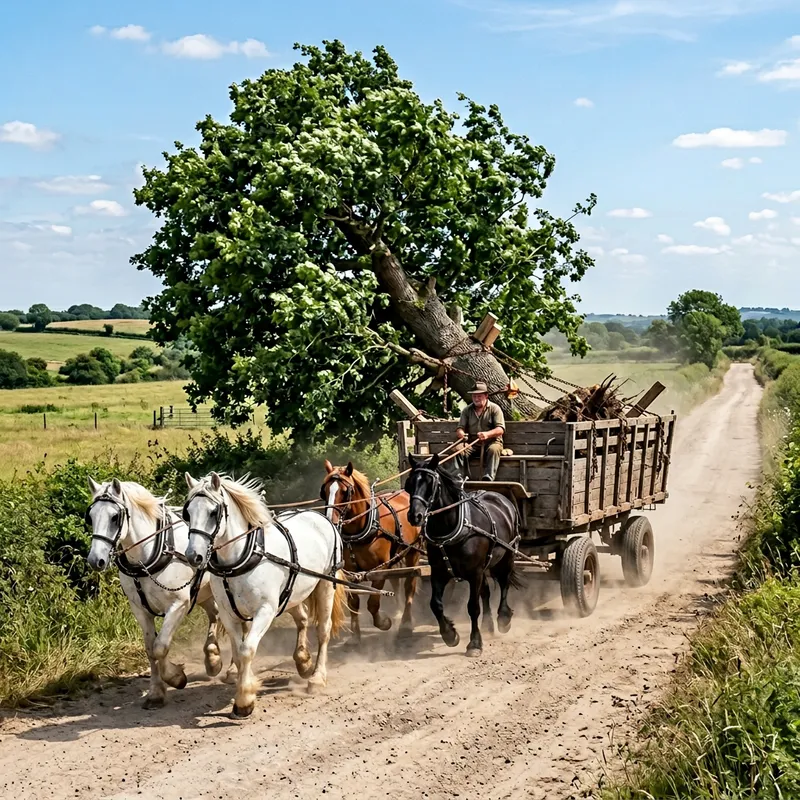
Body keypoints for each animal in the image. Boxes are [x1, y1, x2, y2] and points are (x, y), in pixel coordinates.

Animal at [86, 478, 230, 709]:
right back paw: (212, 659)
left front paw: (175, 677)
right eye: (90, 516)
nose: (95, 560)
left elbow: (160, 646)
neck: (148, 556)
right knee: (214, 615)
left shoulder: (178, 604)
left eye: (115, 517)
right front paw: (156, 692)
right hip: (204, 592)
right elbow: (150, 649)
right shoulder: (140, 609)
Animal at [182, 471, 347, 717]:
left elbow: (247, 650)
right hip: (291, 594)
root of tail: (321, 517)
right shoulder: (229, 614)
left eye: (213, 512)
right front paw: (244, 686)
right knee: (302, 619)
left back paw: (317, 678)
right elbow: (238, 652)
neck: (239, 560)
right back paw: (303, 662)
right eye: (188, 513)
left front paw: (244, 700)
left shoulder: (265, 610)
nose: (194, 556)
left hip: (326, 584)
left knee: (323, 631)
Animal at [320, 460, 422, 643]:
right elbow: (354, 603)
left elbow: (373, 603)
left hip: (413, 552)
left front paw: (384, 623)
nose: (330, 520)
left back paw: (405, 624)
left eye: (345, 492)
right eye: (324, 491)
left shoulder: (380, 570)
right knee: (396, 583)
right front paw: (355, 636)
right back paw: (398, 613)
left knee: (409, 585)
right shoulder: (351, 572)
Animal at [404, 453, 522, 657]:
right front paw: (450, 635)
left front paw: (474, 644)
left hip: (506, 557)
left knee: (504, 583)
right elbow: (435, 604)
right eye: (409, 483)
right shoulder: (439, 572)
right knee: (486, 592)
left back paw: (503, 619)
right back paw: (488, 625)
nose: (415, 516)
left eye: (431, 483)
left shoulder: (474, 573)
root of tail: (501, 497)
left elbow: (473, 607)